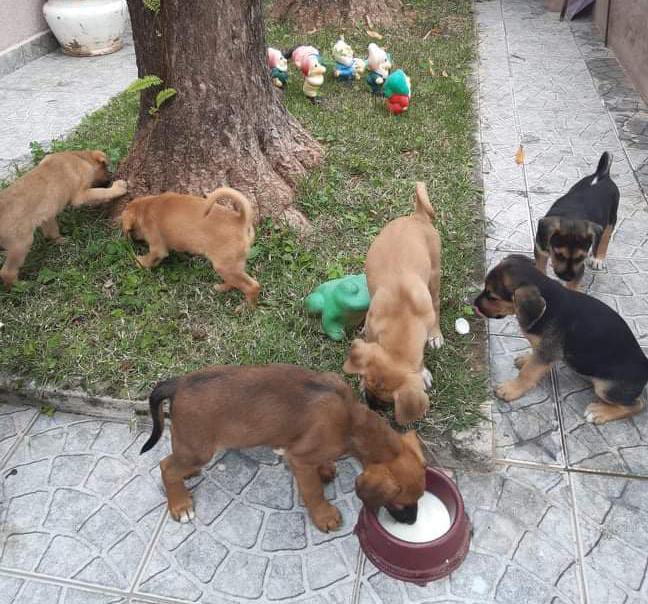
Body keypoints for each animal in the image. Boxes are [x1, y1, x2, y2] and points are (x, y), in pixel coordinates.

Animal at [0, 152, 128, 292]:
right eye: (106, 169)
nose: (110, 179)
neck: (78, 156)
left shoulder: (48, 214)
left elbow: (51, 230)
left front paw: (59, 240)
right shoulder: (81, 196)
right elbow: (101, 193)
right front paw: (118, 188)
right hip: (21, 244)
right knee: (7, 272)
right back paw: (22, 286)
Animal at [121, 188, 260, 312]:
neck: (146, 206)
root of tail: (241, 220)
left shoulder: (157, 247)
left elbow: (150, 257)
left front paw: (140, 262)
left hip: (225, 266)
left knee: (252, 286)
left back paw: (247, 308)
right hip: (232, 264)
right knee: (236, 280)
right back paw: (222, 287)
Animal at [342, 183, 442, 424]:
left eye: (387, 401)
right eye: (366, 384)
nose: (370, 406)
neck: (402, 318)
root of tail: (417, 217)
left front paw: (422, 371)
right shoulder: (372, 330)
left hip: (435, 274)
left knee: (437, 304)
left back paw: (436, 335)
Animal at [470, 255, 648, 424]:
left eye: (493, 297)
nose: (474, 305)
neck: (548, 304)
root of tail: (645, 367)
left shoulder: (548, 352)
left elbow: (529, 372)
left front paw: (512, 388)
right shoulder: (543, 349)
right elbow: (533, 357)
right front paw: (526, 359)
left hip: (606, 387)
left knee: (637, 405)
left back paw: (600, 412)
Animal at [536, 153, 620, 290]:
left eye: (581, 257)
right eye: (559, 254)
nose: (567, 277)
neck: (572, 216)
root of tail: (602, 175)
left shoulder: (579, 268)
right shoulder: (540, 250)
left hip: (612, 217)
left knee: (605, 238)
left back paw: (598, 259)